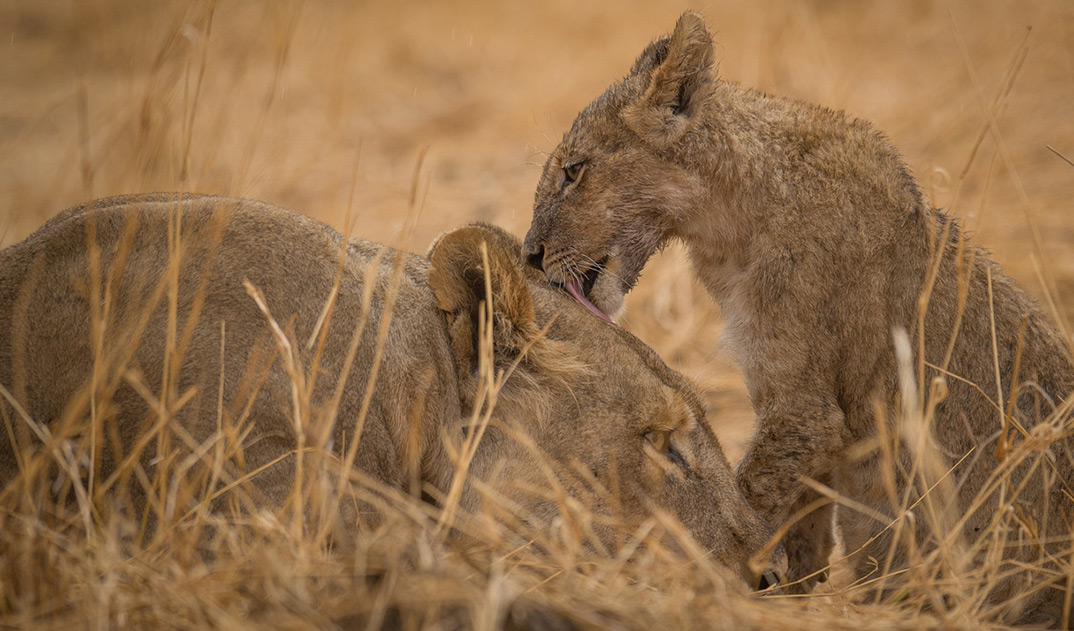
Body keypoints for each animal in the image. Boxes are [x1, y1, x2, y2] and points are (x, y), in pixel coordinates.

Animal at [522, 11, 1074, 624]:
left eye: (573, 171)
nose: (529, 255)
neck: (729, 218)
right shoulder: (802, 421)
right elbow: (800, 521)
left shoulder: (806, 408)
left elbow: (745, 492)